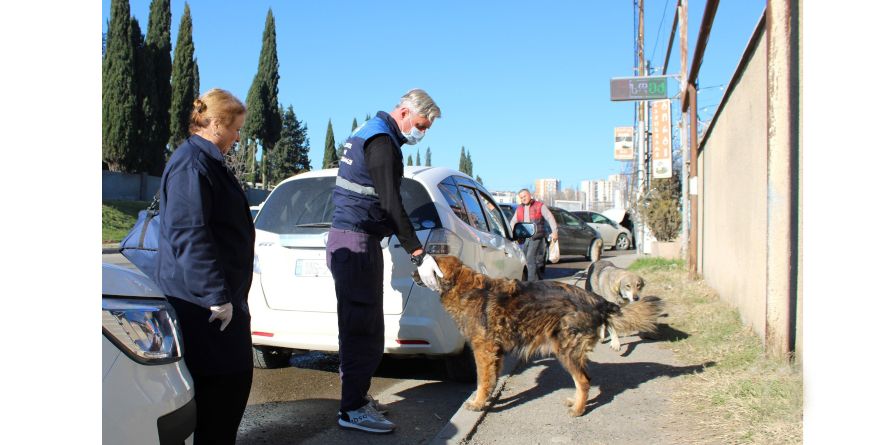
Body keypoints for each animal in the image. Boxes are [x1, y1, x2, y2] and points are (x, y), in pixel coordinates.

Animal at [418, 255, 664, 414]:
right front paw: (487, 400)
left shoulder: (483, 350)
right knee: (584, 379)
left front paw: (478, 402)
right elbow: (492, 379)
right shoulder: (495, 352)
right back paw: (576, 402)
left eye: (421, 264)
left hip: (566, 351)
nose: (413, 269)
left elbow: (483, 380)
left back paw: (578, 409)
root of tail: (597, 300)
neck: (465, 286)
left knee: (583, 381)